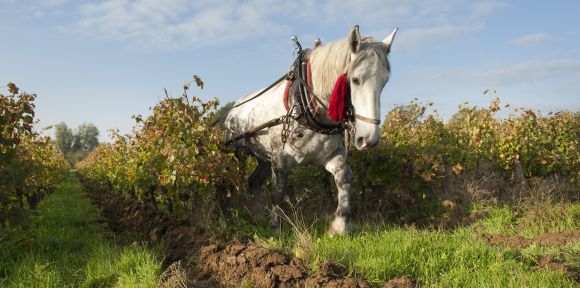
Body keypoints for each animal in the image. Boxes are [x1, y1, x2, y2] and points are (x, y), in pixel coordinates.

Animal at [224, 25, 396, 235]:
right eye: (355, 80)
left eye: (385, 81)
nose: (369, 139)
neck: (303, 105)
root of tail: (233, 110)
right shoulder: (279, 159)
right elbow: (278, 192)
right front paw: (275, 227)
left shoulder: (329, 155)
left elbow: (344, 177)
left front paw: (340, 224)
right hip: (235, 154)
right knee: (231, 183)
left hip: (264, 158)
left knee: (253, 183)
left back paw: (257, 217)